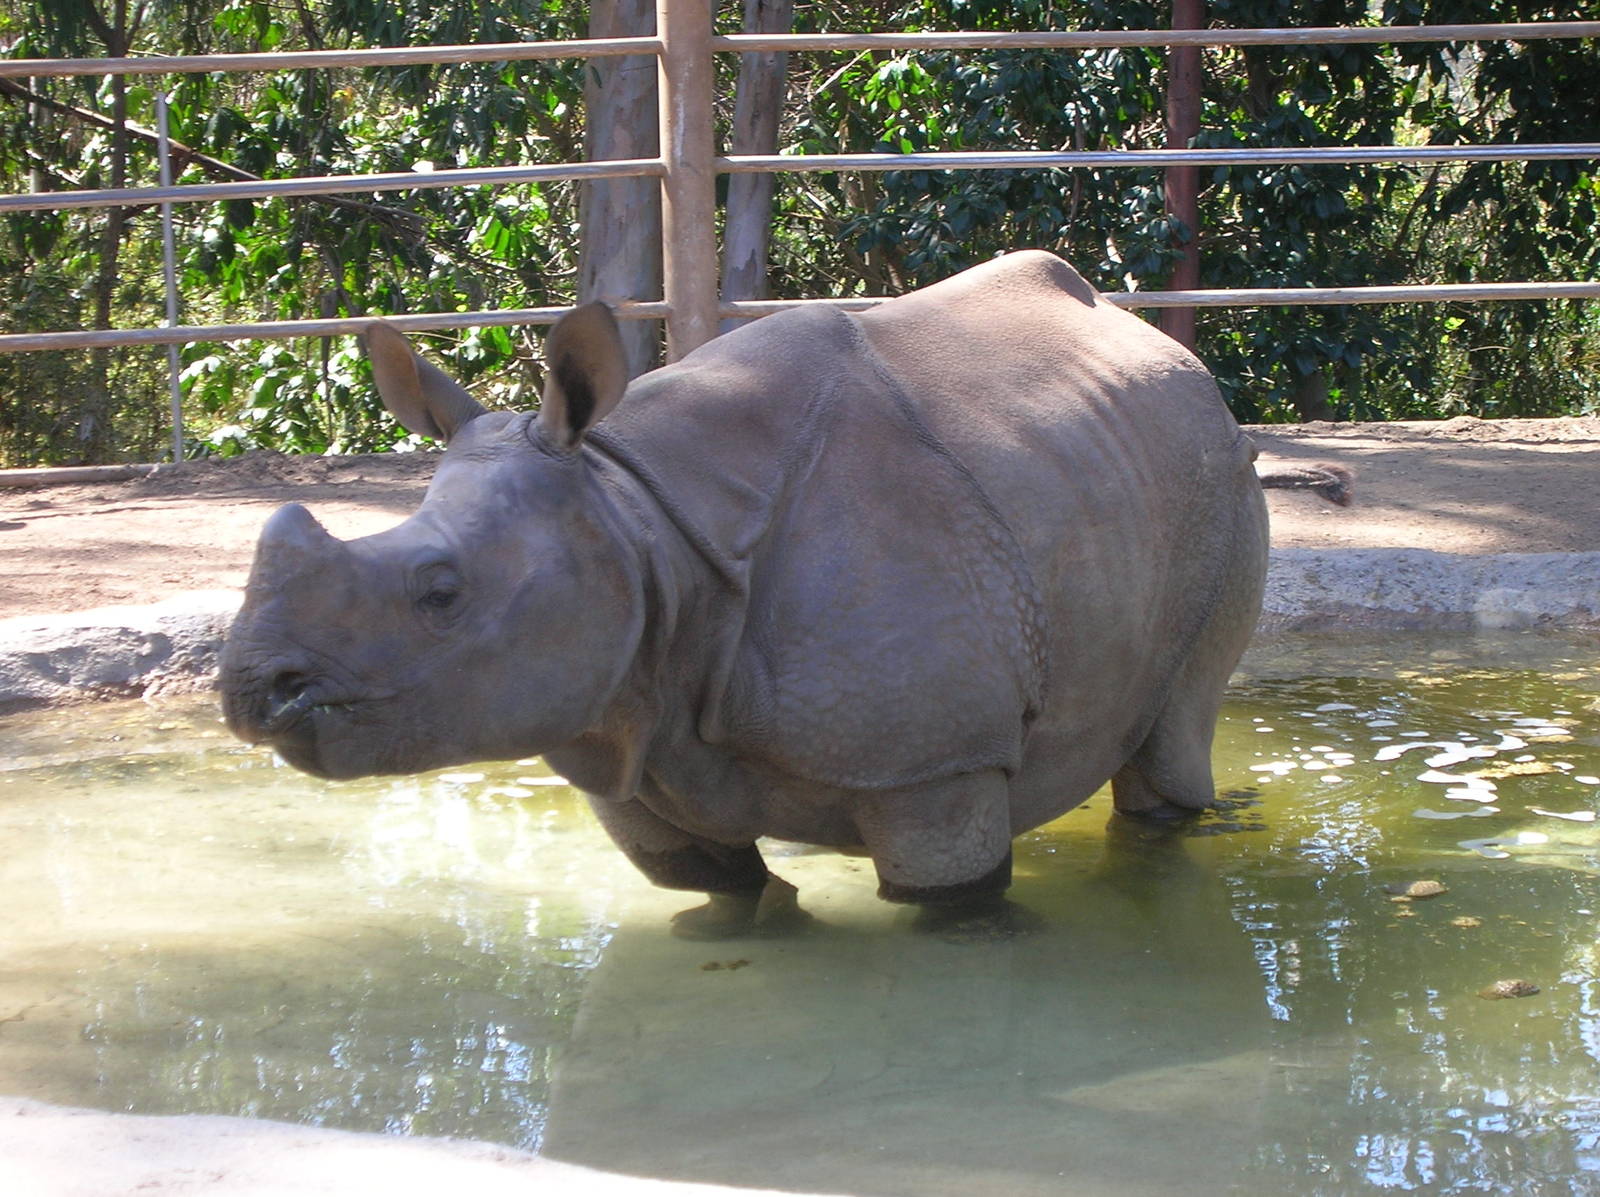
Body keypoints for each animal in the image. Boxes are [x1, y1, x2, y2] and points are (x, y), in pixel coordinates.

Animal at [221, 251, 1334, 937]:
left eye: (439, 591)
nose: (248, 689)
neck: (631, 517)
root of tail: (1168, 350)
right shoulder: (620, 734)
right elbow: (723, 892)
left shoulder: (937, 763)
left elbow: (953, 901)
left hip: (1221, 477)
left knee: (1174, 729)